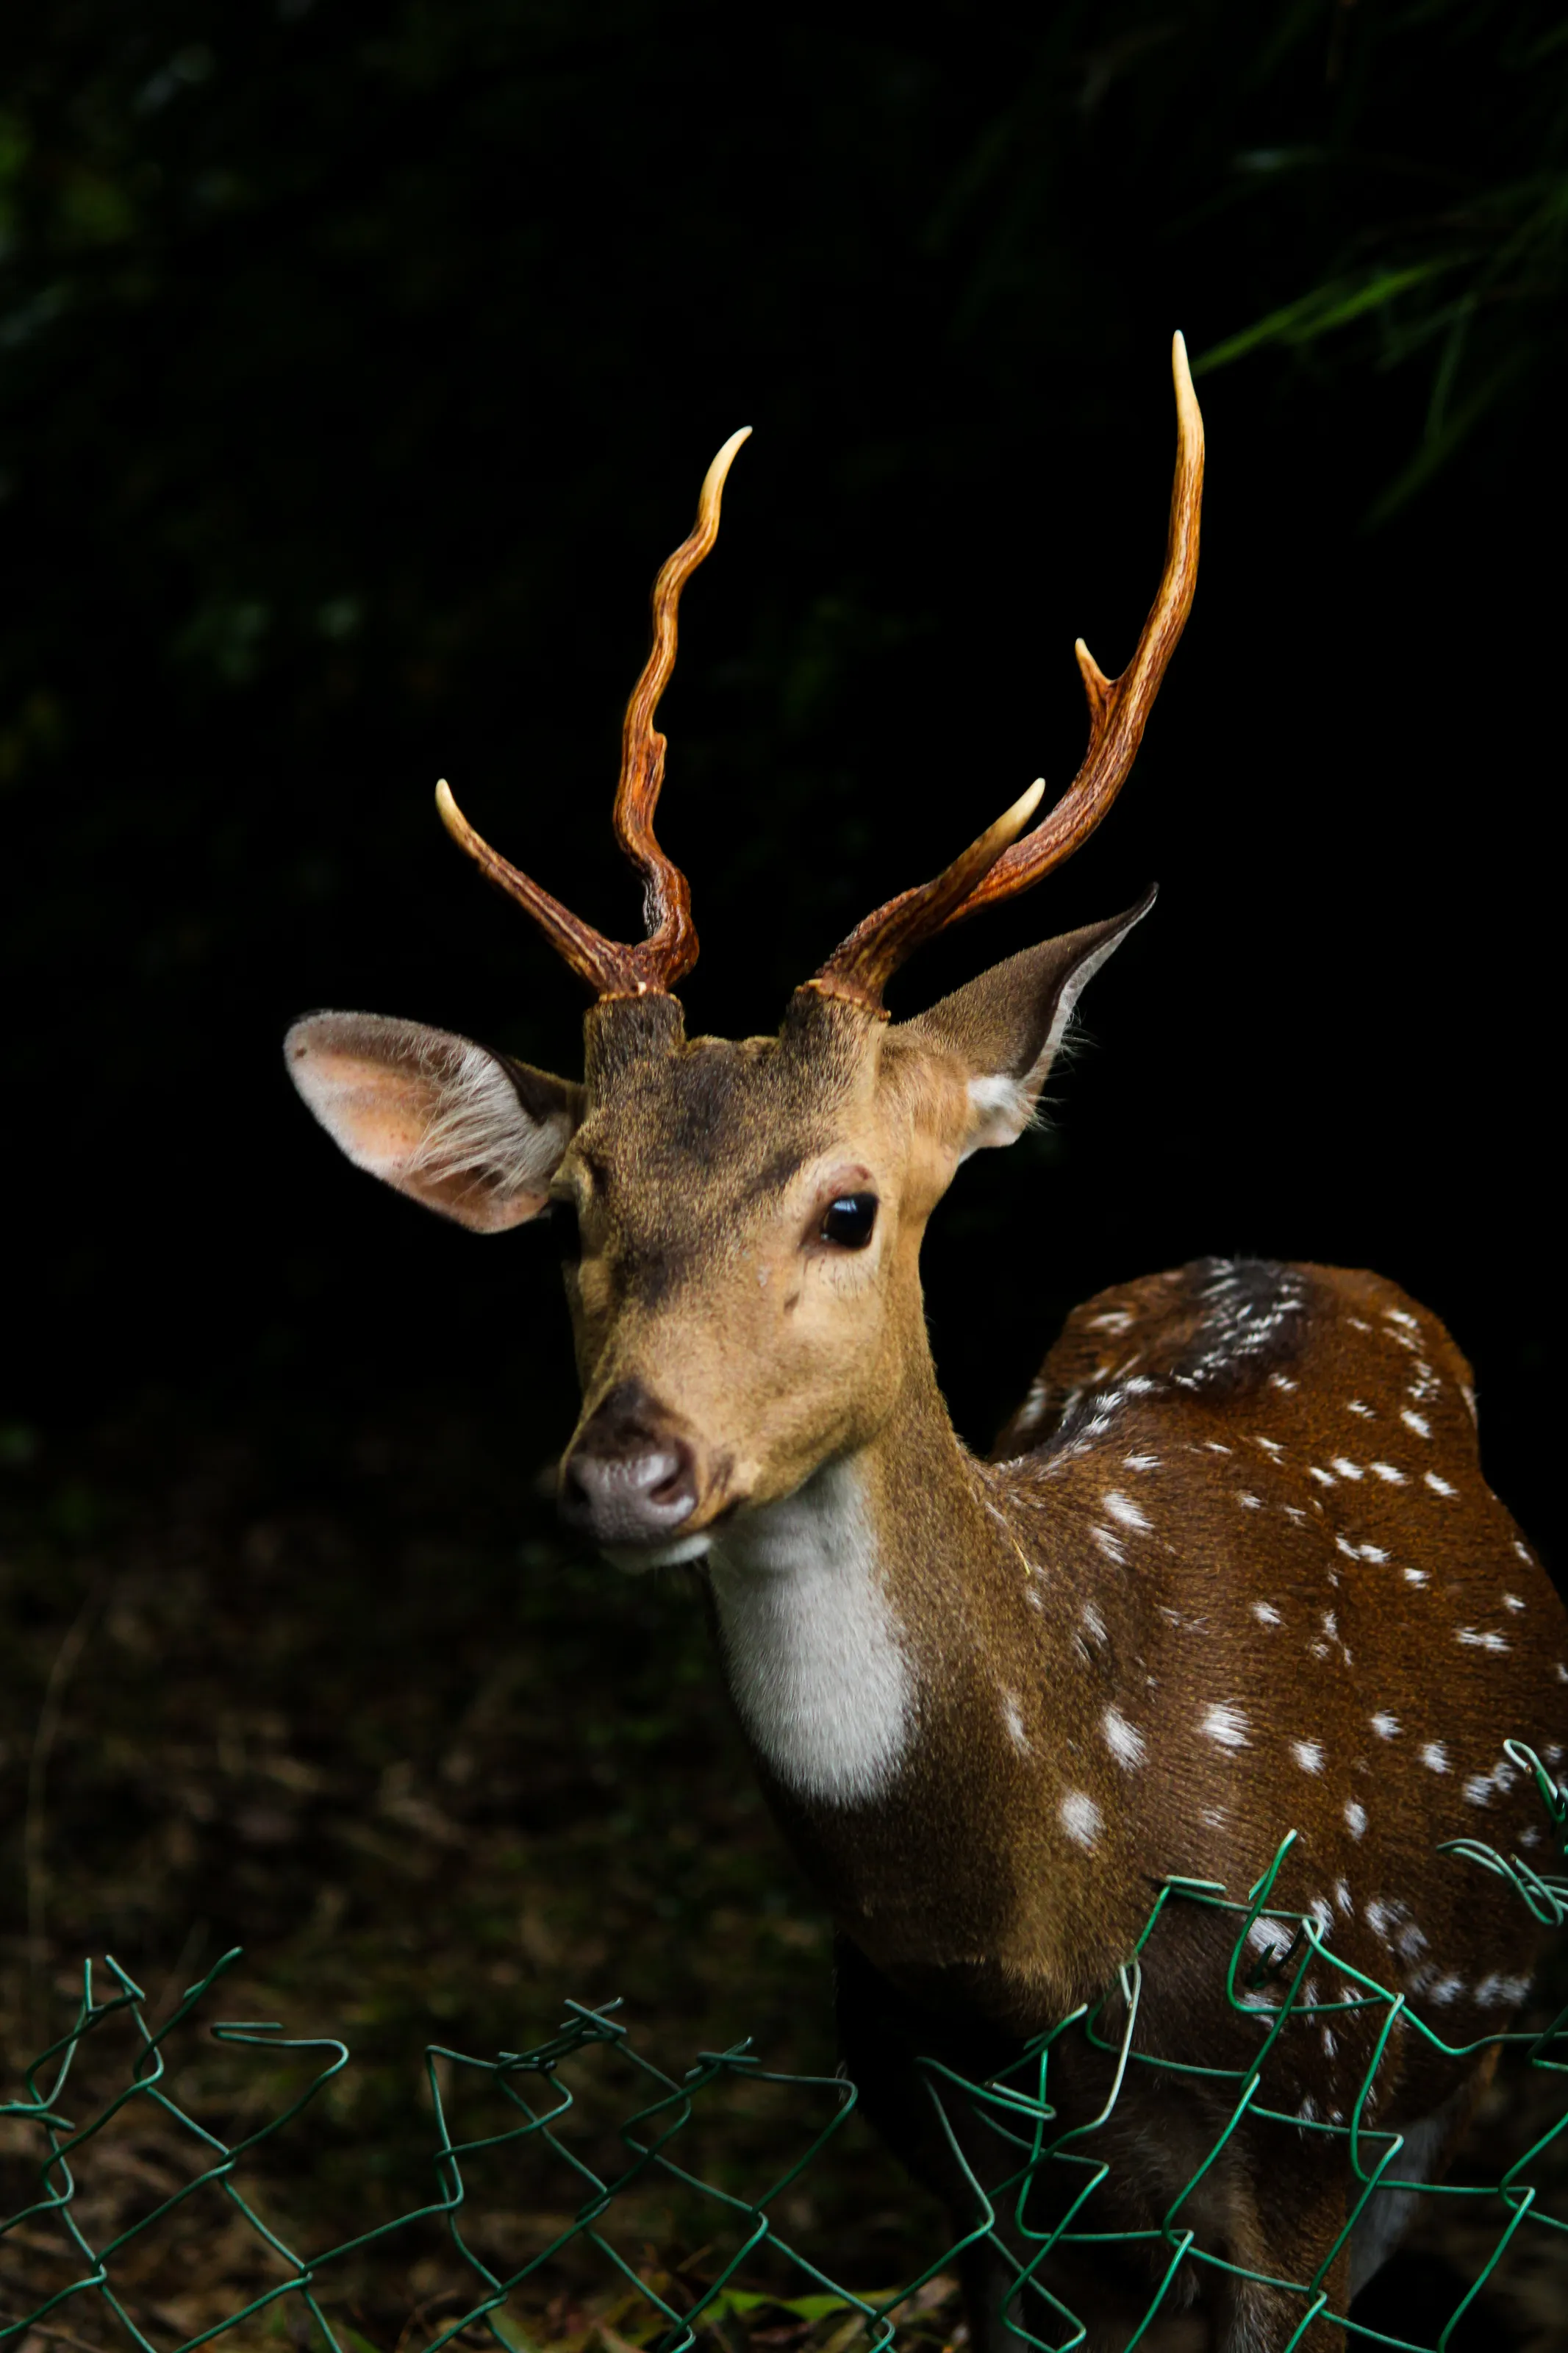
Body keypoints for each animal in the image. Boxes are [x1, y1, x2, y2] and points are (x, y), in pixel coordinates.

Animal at [284, 338, 1568, 2351]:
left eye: (846, 1206)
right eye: (567, 1210)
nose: (627, 1467)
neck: (1034, 1936)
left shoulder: (1306, 2105)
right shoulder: (950, 2162)